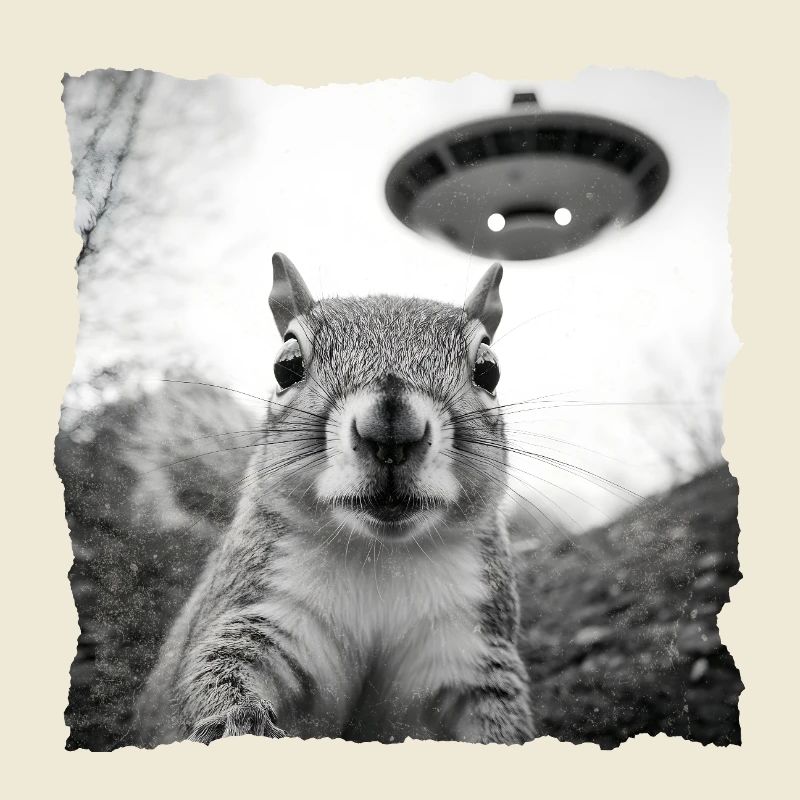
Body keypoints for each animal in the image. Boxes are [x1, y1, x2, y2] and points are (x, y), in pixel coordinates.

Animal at [136, 252, 535, 745]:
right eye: (286, 366)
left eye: (489, 370)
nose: (392, 429)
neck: (381, 556)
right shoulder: (266, 609)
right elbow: (220, 665)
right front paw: (238, 724)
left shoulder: (469, 647)